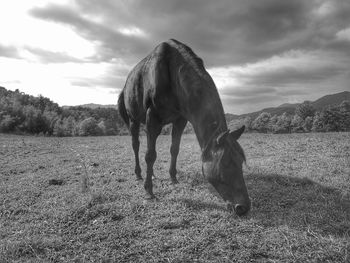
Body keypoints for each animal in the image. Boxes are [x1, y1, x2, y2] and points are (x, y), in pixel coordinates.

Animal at [119, 39, 250, 217]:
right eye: (225, 163)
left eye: (241, 161)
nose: (244, 207)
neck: (173, 76)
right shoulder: (152, 119)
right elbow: (150, 155)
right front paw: (149, 192)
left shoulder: (180, 120)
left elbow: (174, 149)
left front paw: (173, 178)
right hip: (134, 121)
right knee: (136, 146)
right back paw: (139, 174)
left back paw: (151, 174)